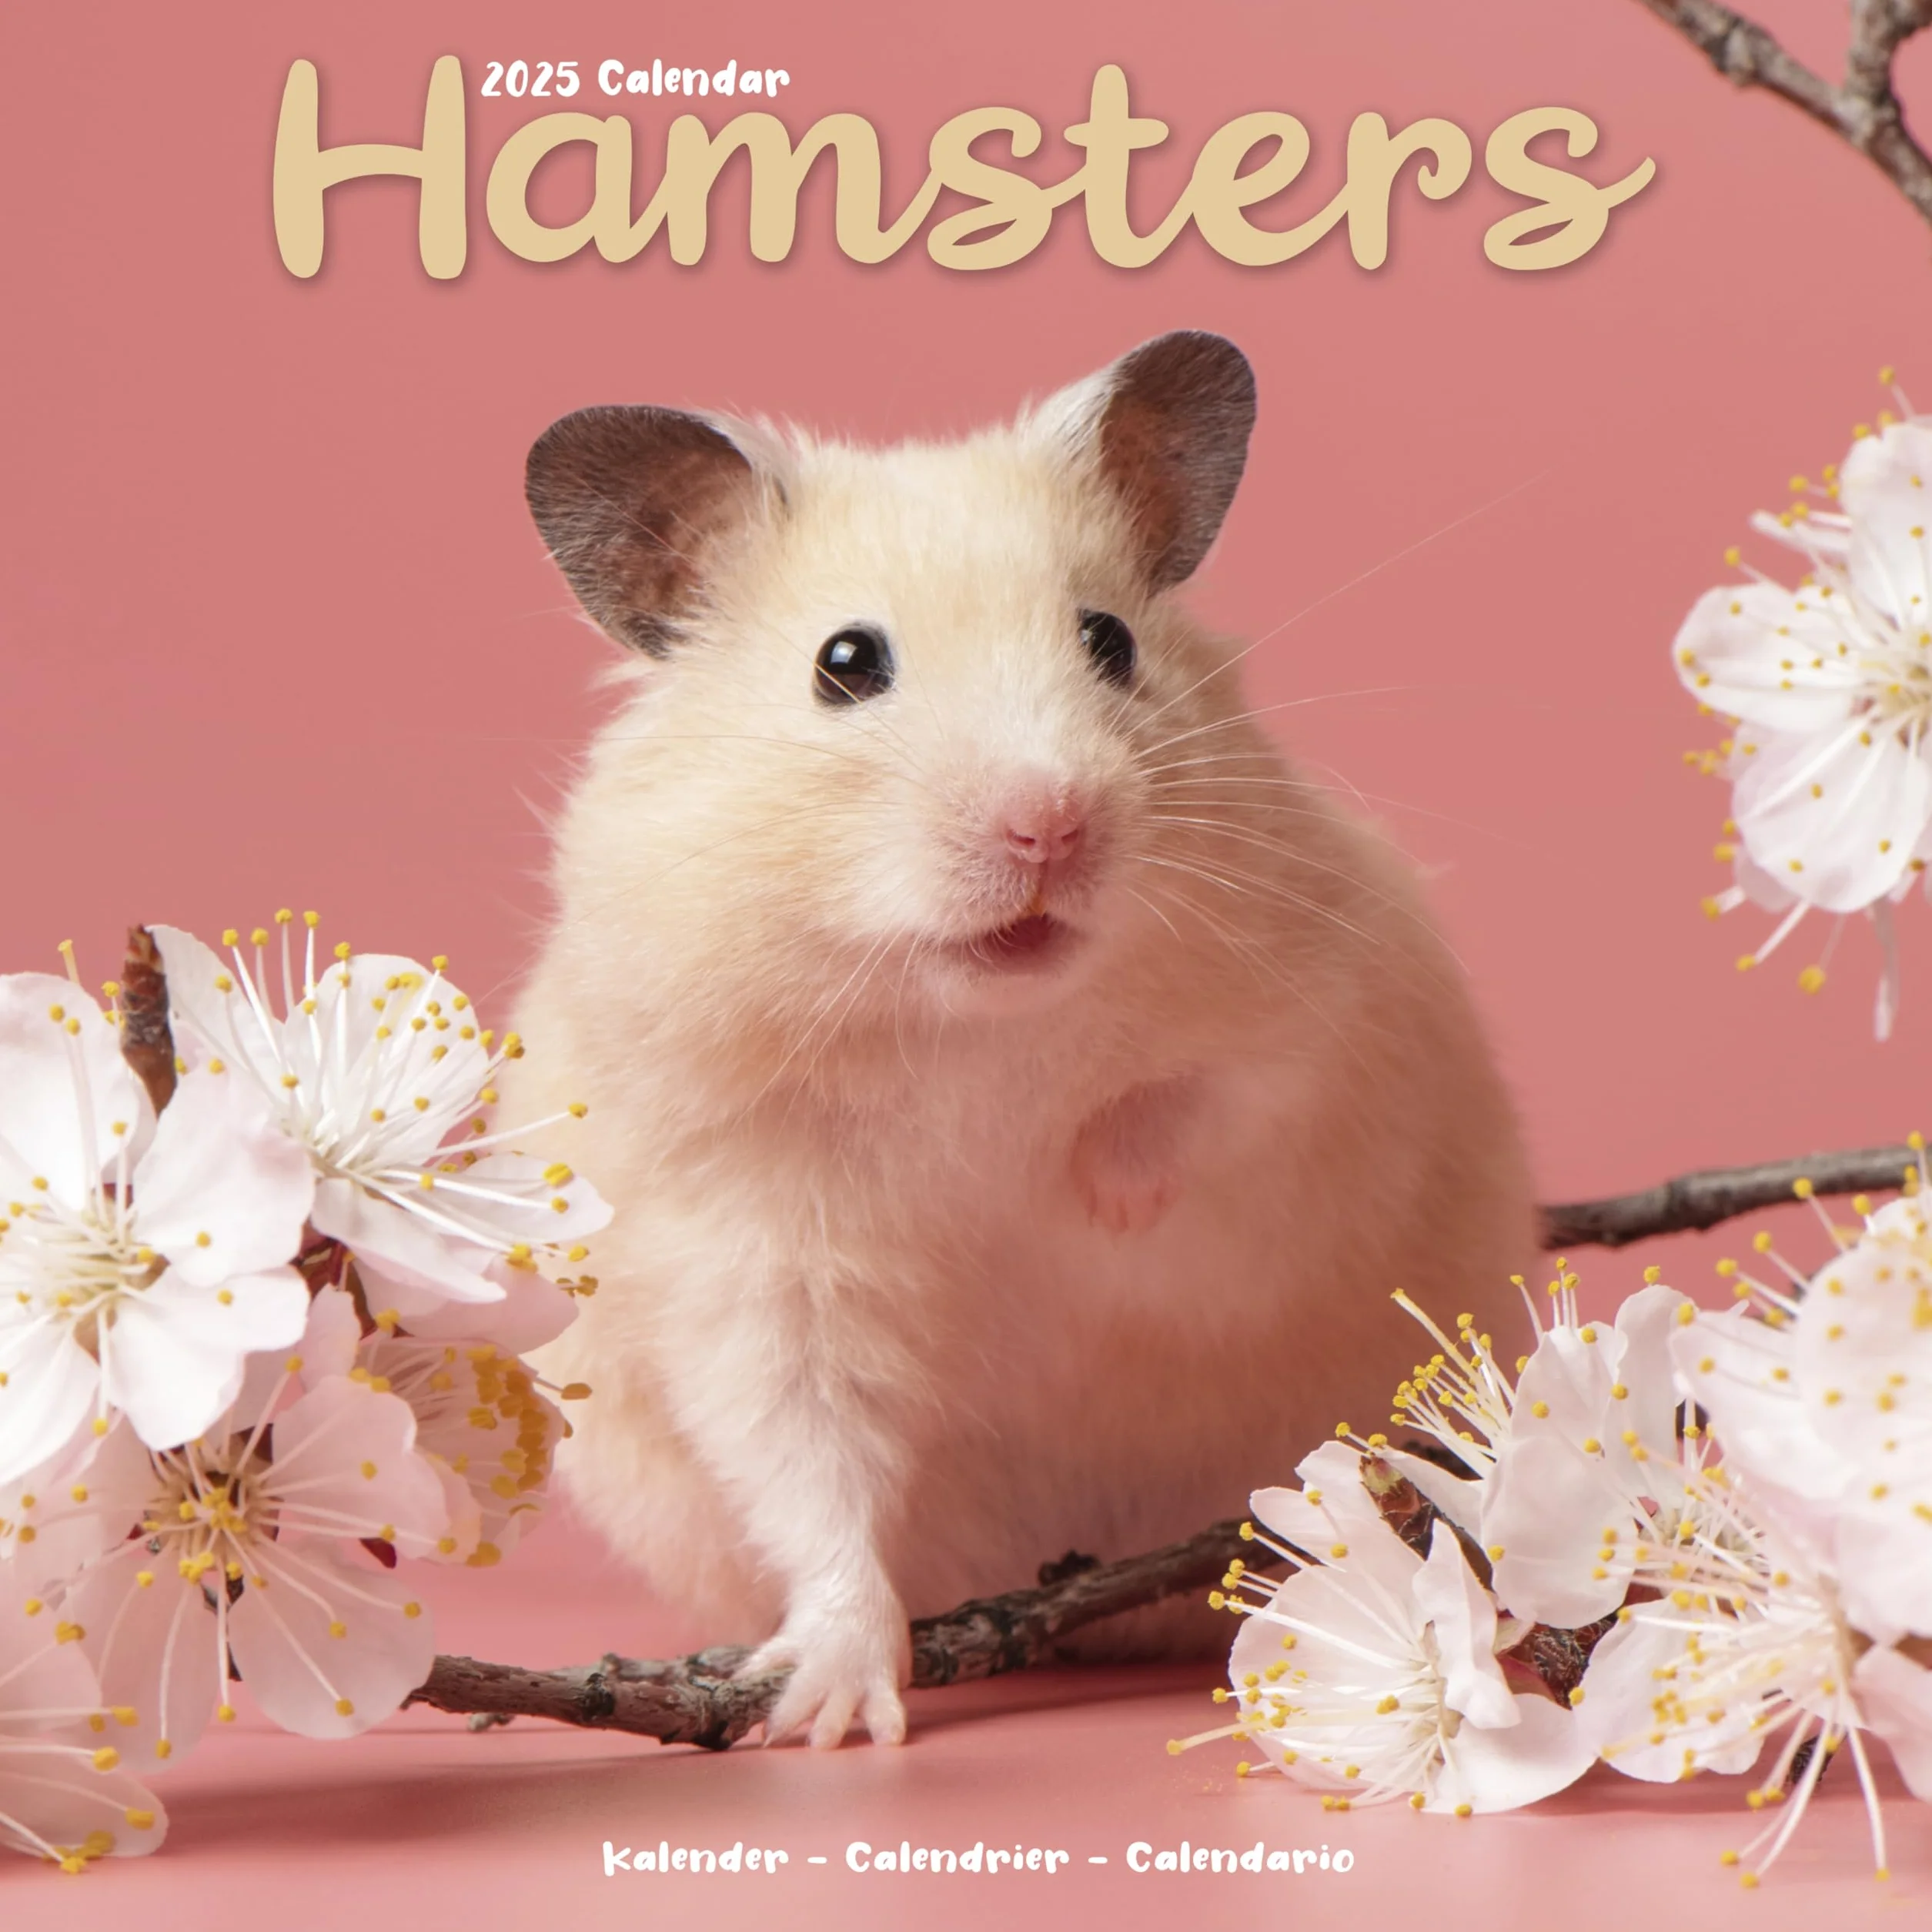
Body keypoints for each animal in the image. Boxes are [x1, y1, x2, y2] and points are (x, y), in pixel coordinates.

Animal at [502, 332, 1534, 1749]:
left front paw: (1098, 1200)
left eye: (1108, 639)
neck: (976, 1027)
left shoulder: (1331, 1017)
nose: (1049, 822)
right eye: (844, 662)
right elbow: (808, 1464)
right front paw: (825, 1711)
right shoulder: (752, 1244)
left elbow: (1202, 1105)